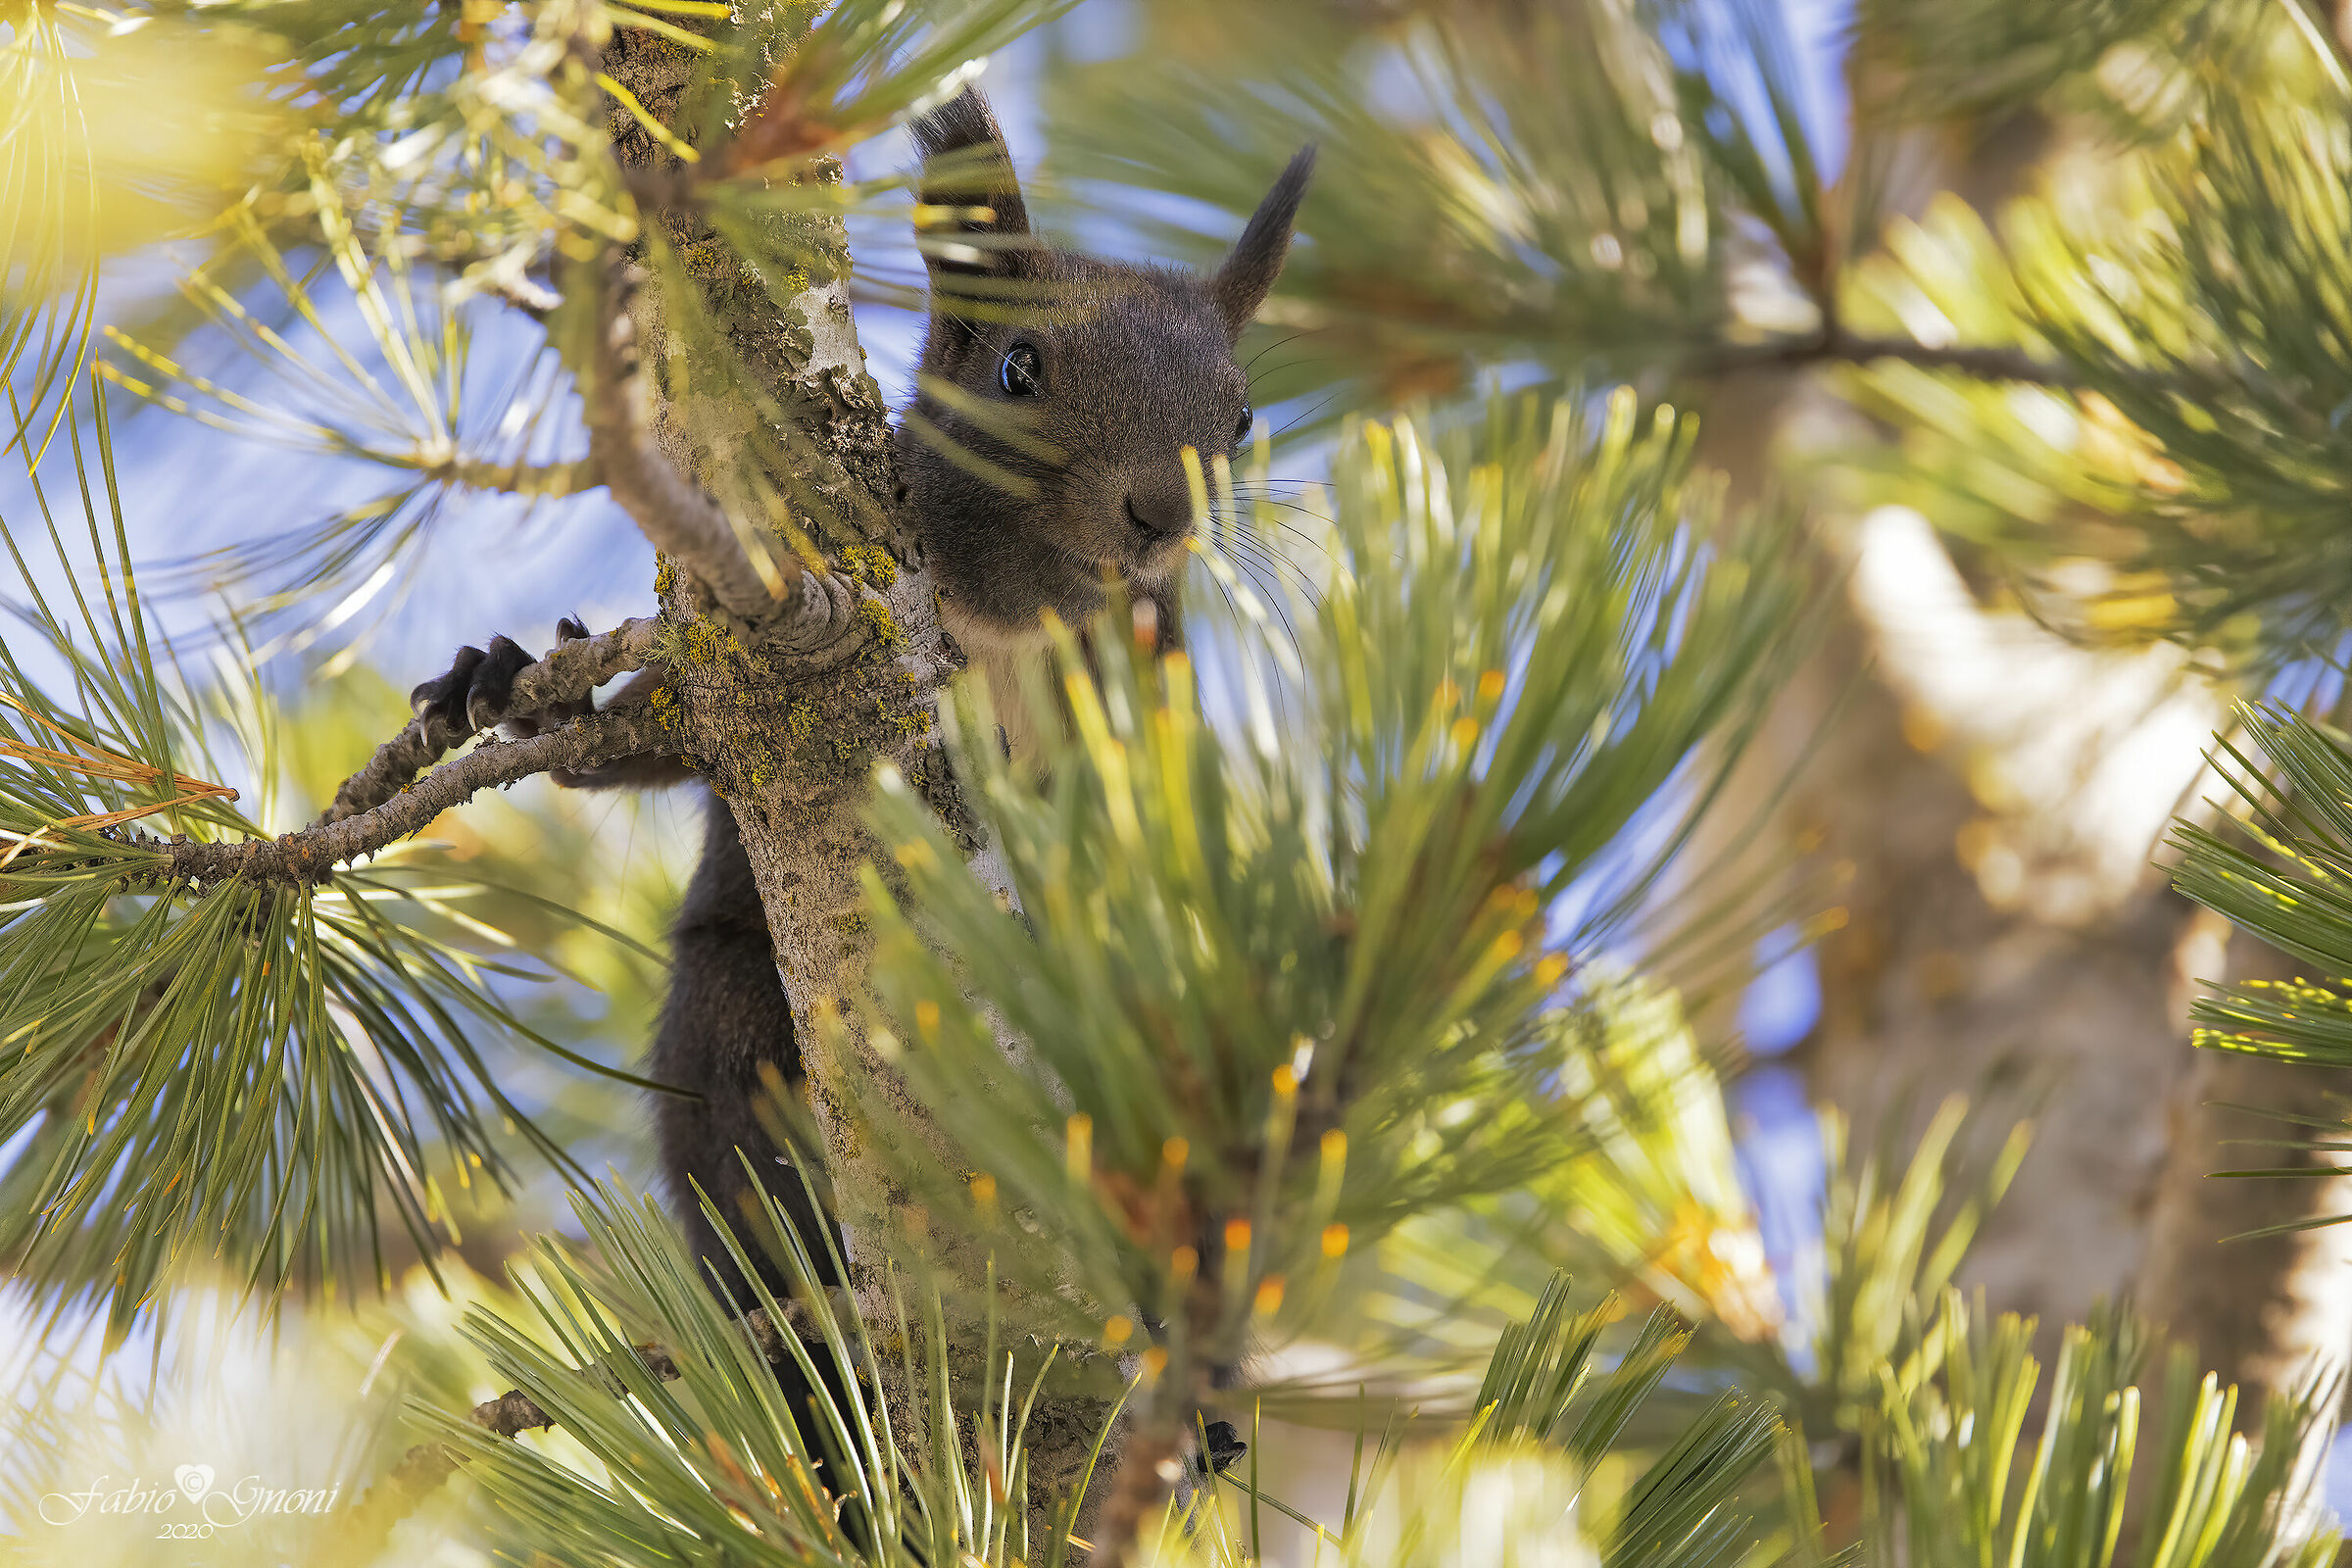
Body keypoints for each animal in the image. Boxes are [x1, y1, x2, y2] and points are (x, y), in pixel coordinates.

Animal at [410, 90, 1310, 1390]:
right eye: (1017, 366)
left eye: (1241, 418)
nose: (1160, 515)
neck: (1012, 613)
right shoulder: (736, 691)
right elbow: (654, 742)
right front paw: (516, 686)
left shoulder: (1137, 683)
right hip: (732, 1021)